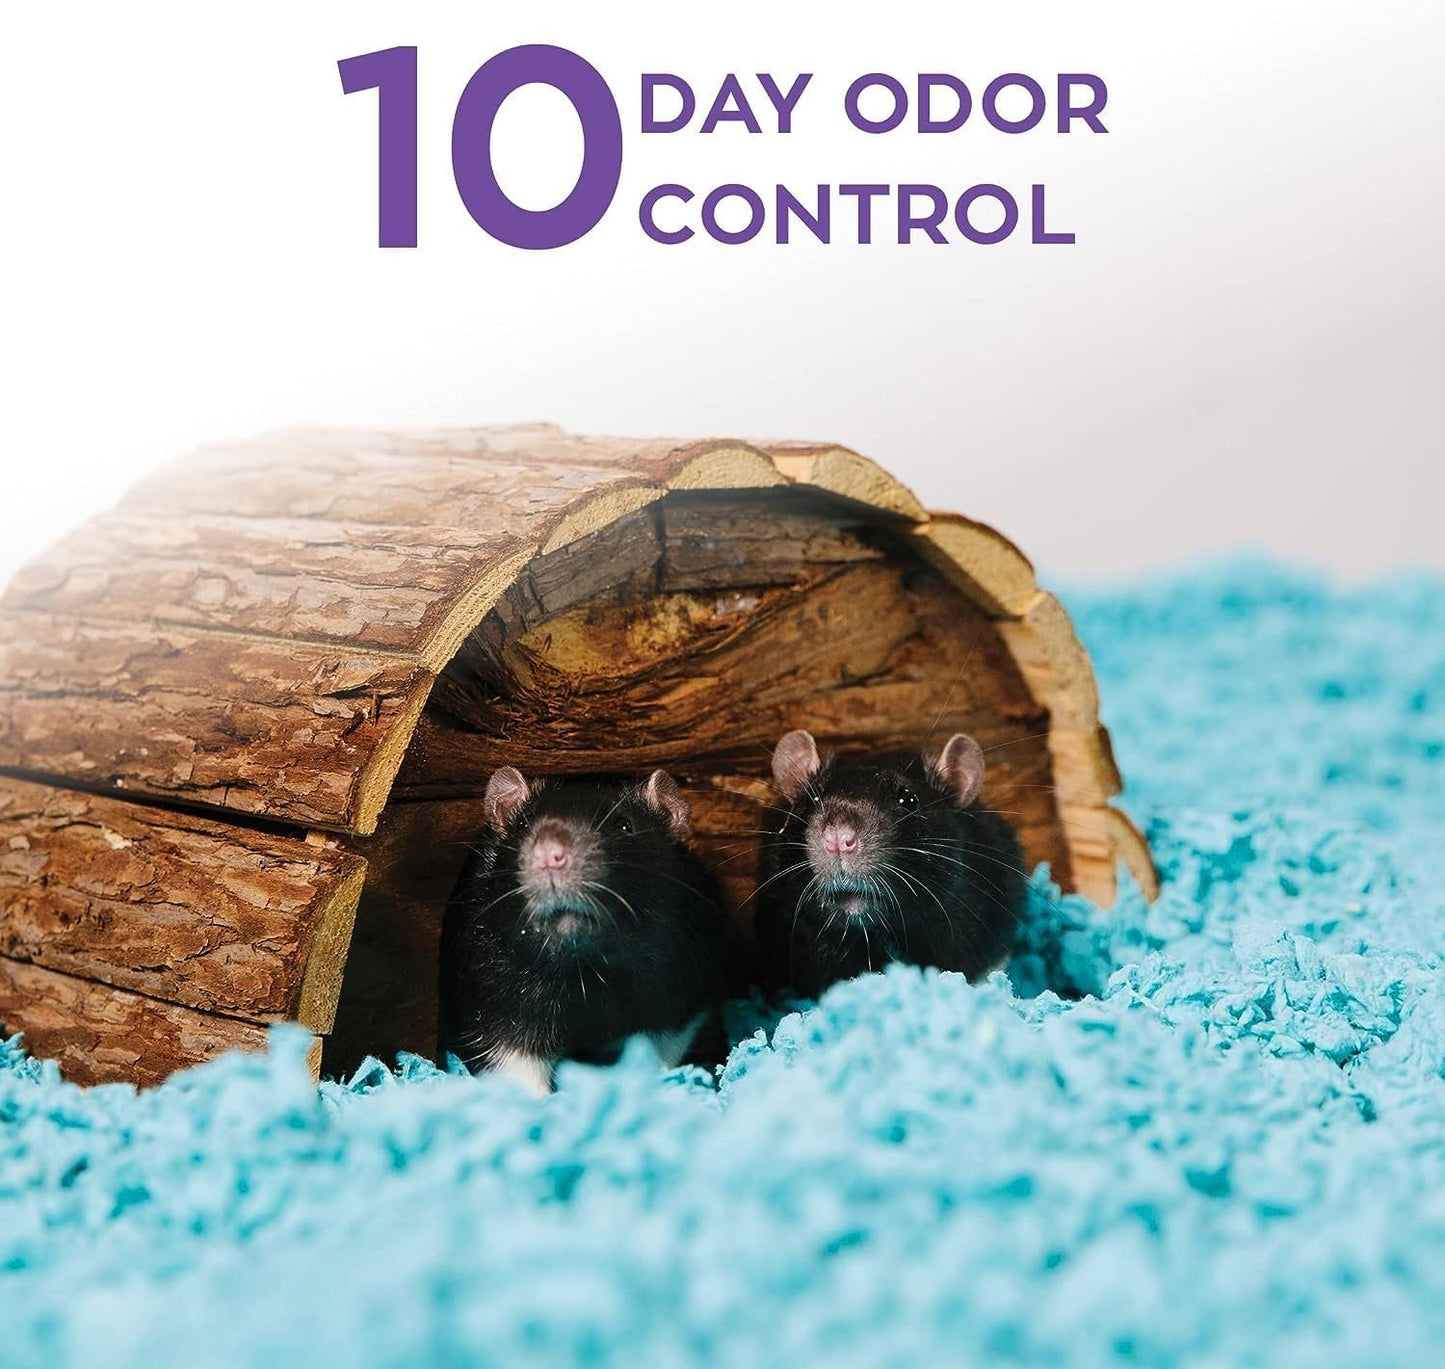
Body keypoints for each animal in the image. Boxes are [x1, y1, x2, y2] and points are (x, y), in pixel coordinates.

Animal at [438, 767, 728, 1094]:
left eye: (624, 825)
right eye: (523, 824)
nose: (549, 855)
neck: (586, 967)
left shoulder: (679, 989)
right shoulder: (494, 994)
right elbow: (513, 1061)